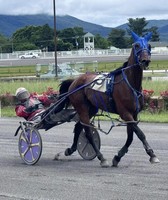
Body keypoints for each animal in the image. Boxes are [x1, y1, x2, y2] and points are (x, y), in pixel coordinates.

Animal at [58, 32, 159, 167]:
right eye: (137, 45)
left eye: (149, 46)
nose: (145, 61)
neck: (130, 84)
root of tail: (74, 81)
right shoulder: (125, 113)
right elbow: (140, 134)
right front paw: (152, 154)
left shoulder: (133, 114)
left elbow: (131, 137)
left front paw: (117, 157)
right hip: (82, 108)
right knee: (87, 132)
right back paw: (101, 157)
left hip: (91, 109)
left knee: (79, 126)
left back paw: (71, 149)